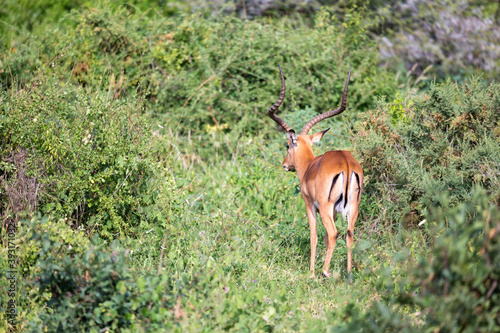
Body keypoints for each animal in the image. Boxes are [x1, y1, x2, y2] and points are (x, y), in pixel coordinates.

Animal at [266, 65, 364, 280]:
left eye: (287, 145)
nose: (285, 164)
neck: (310, 166)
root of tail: (346, 163)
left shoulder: (310, 205)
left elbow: (314, 235)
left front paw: (310, 272)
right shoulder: (334, 211)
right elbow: (325, 238)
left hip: (327, 208)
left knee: (334, 233)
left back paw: (324, 272)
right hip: (353, 206)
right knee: (349, 234)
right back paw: (348, 274)